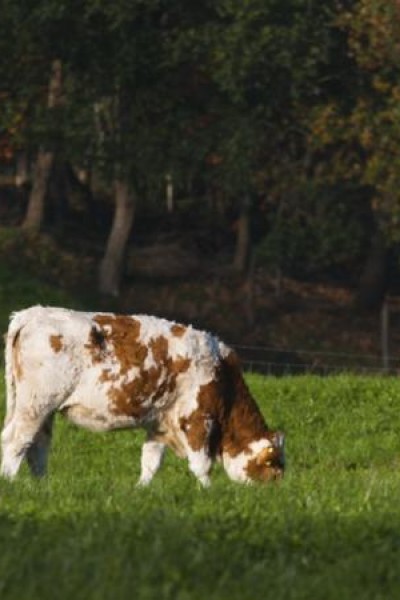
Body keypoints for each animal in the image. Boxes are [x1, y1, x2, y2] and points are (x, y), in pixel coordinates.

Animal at [1, 308, 286, 486]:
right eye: (273, 466)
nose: (275, 492)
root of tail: (33, 313)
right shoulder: (197, 418)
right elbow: (201, 464)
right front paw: (210, 493)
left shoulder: (160, 423)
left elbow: (150, 461)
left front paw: (141, 490)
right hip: (36, 403)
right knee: (17, 441)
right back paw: (10, 481)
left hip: (40, 407)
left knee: (37, 446)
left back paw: (42, 485)